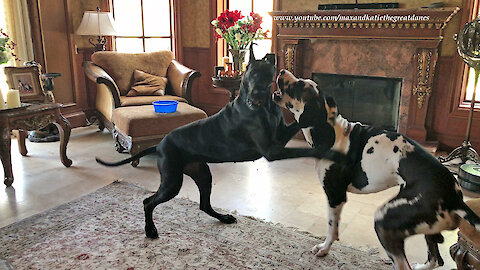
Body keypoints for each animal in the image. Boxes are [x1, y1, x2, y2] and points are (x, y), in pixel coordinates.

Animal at [96, 46, 344, 238]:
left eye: (266, 74)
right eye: (250, 74)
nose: (254, 97)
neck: (264, 107)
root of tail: (160, 144)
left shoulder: (279, 136)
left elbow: (297, 124)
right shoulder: (271, 150)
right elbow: (302, 135)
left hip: (202, 173)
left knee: (204, 204)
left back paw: (223, 218)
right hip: (172, 181)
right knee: (148, 202)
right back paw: (150, 230)